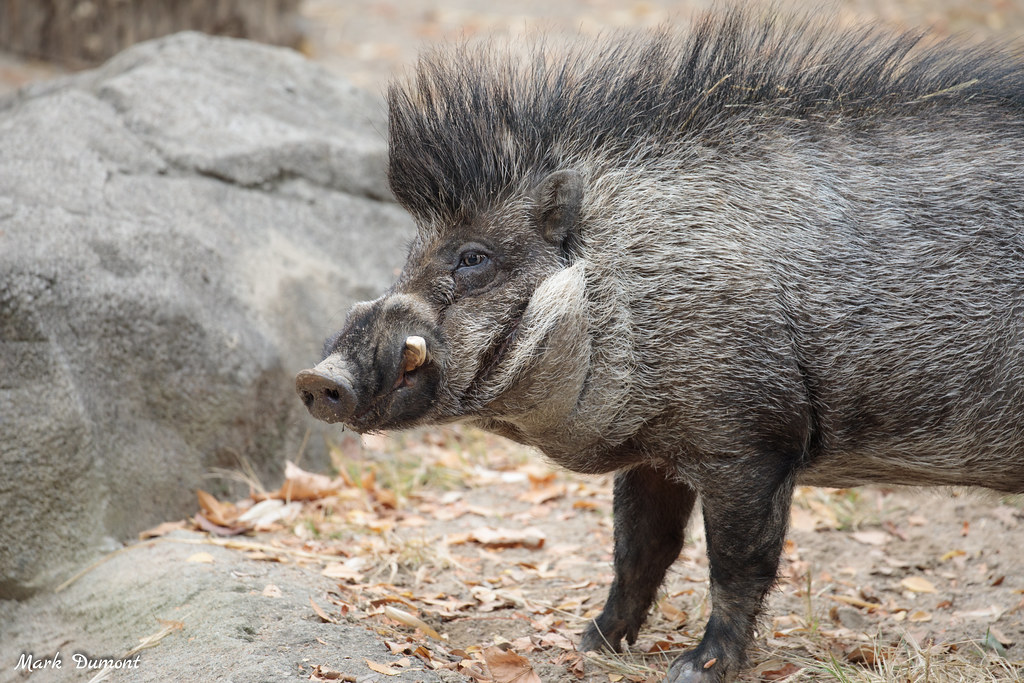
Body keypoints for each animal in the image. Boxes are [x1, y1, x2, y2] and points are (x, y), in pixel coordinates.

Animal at [296, 7, 1024, 679]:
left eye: (474, 258)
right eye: (409, 254)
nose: (315, 378)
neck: (626, 278)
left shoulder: (751, 441)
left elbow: (736, 563)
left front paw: (697, 667)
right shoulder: (656, 451)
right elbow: (640, 551)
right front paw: (590, 644)